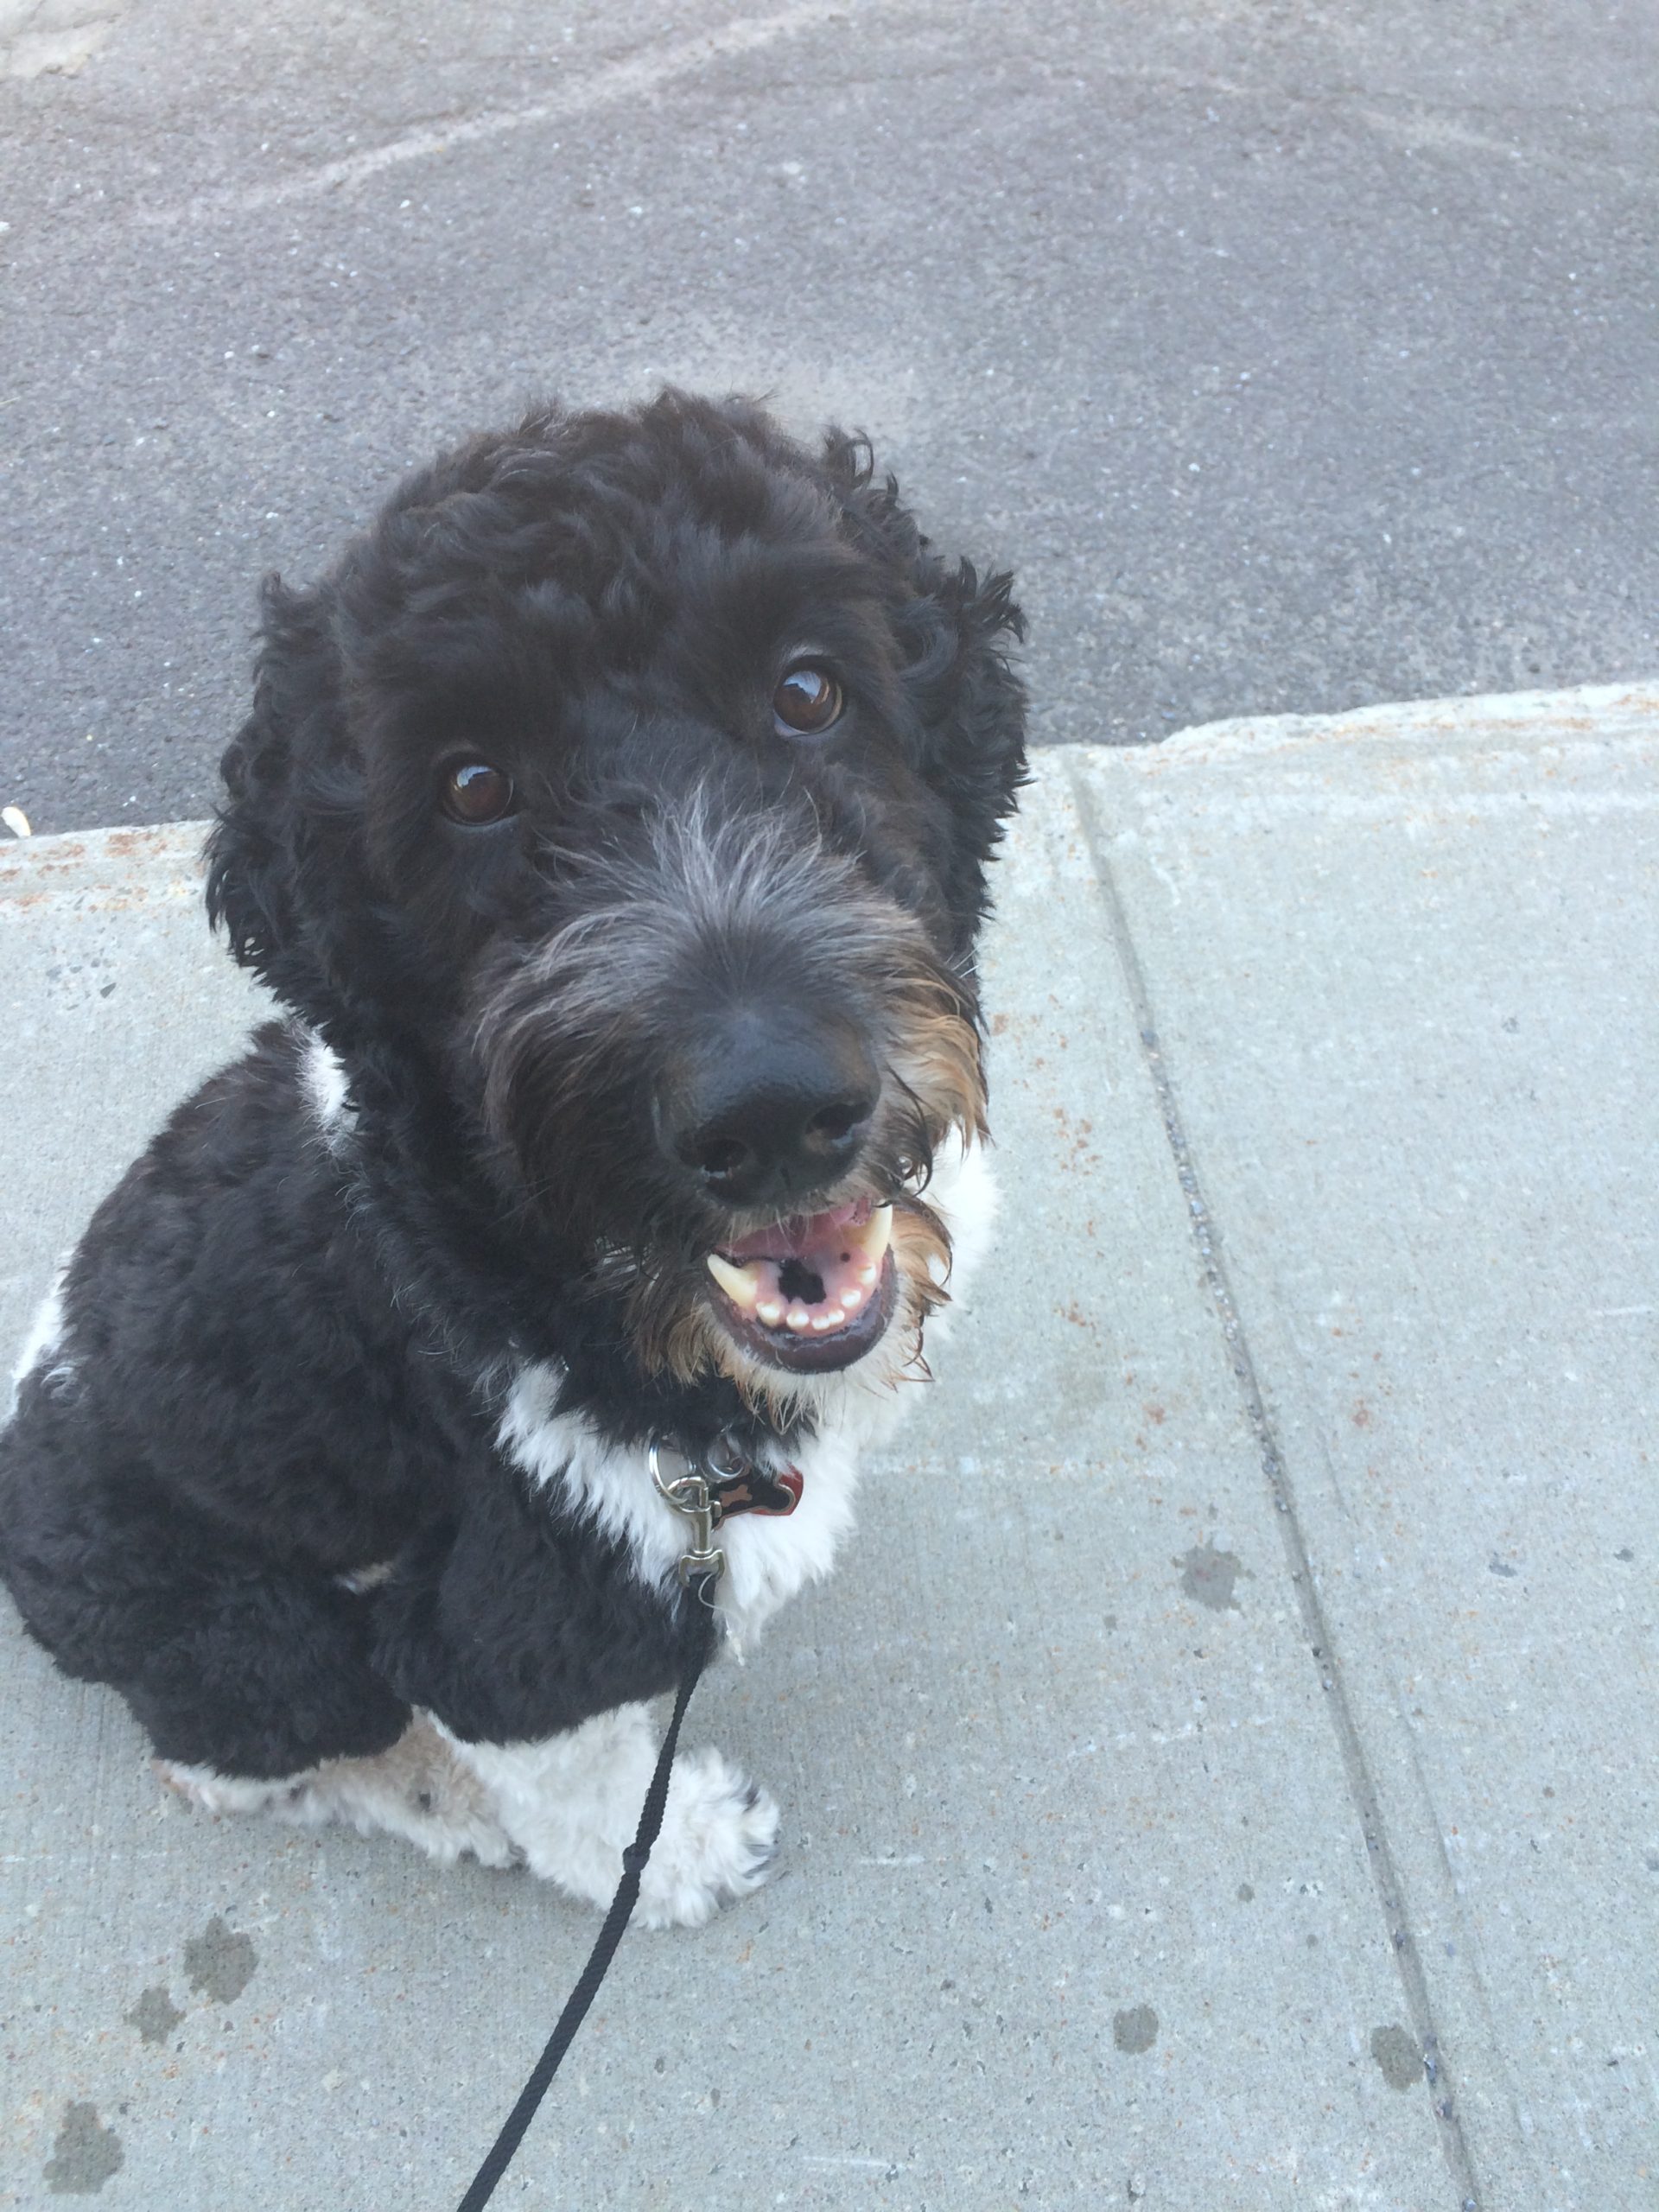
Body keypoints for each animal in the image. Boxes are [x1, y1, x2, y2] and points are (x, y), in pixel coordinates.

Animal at [0, 393, 1026, 1920]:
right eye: (471, 785)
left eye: (808, 691)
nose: (770, 1109)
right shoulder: (525, 1618)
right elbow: (571, 1775)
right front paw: (672, 1853)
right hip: (252, 1638)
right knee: (241, 1755)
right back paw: (427, 1797)